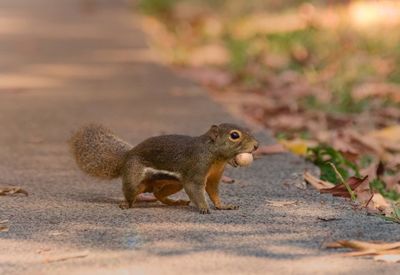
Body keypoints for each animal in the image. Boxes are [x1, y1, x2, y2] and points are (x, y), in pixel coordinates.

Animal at [69, 124, 260, 215]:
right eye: (234, 135)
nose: (257, 145)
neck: (215, 156)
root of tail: (127, 156)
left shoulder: (214, 176)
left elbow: (213, 192)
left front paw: (224, 206)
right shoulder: (196, 170)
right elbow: (197, 190)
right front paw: (204, 207)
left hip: (173, 183)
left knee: (157, 194)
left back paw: (176, 202)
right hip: (134, 178)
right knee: (131, 193)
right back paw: (126, 204)